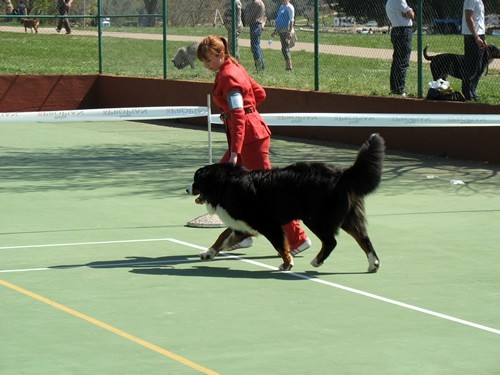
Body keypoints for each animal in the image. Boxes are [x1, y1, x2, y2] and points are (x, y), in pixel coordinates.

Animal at [188, 134, 386, 272]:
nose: (187, 189)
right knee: (363, 238)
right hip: (347, 217)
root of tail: (342, 174)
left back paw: (317, 261)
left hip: (316, 218)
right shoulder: (243, 223)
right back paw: (373, 263)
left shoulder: (266, 223)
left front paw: (287, 263)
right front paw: (208, 253)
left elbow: (280, 244)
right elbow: (222, 237)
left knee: (331, 241)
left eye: (196, 180)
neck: (226, 184)